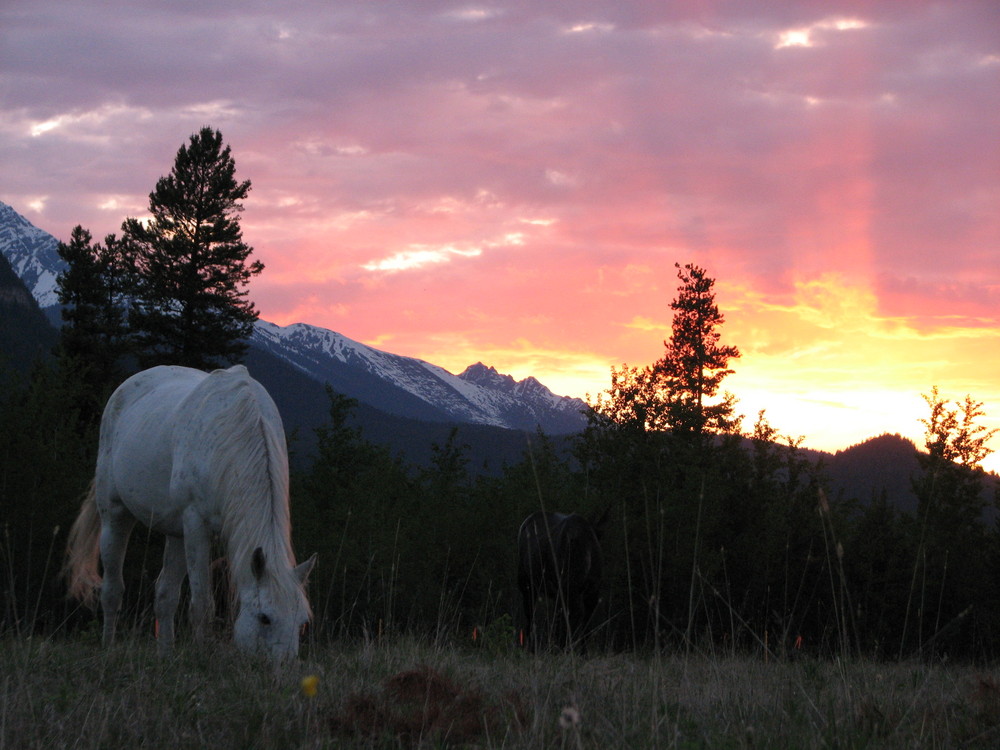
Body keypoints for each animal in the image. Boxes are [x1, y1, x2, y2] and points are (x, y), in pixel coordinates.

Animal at [66, 366, 314, 664]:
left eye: (302, 622)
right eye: (264, 618)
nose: (283, 668)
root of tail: (127, 386)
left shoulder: (192, 529)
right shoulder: (196, 525)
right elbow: (202, 603)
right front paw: (201, 656)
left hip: (176, 533)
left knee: (165, 594)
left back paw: (165, 654)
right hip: (115, 515)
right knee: (113, 589)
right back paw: (108, 646)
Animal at [516, 512, 600, 652]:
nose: (567, 645)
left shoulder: (592, 593)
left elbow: (586, 628)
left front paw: (584, 653)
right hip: (527, 585)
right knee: (530, 618)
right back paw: (532, 649)